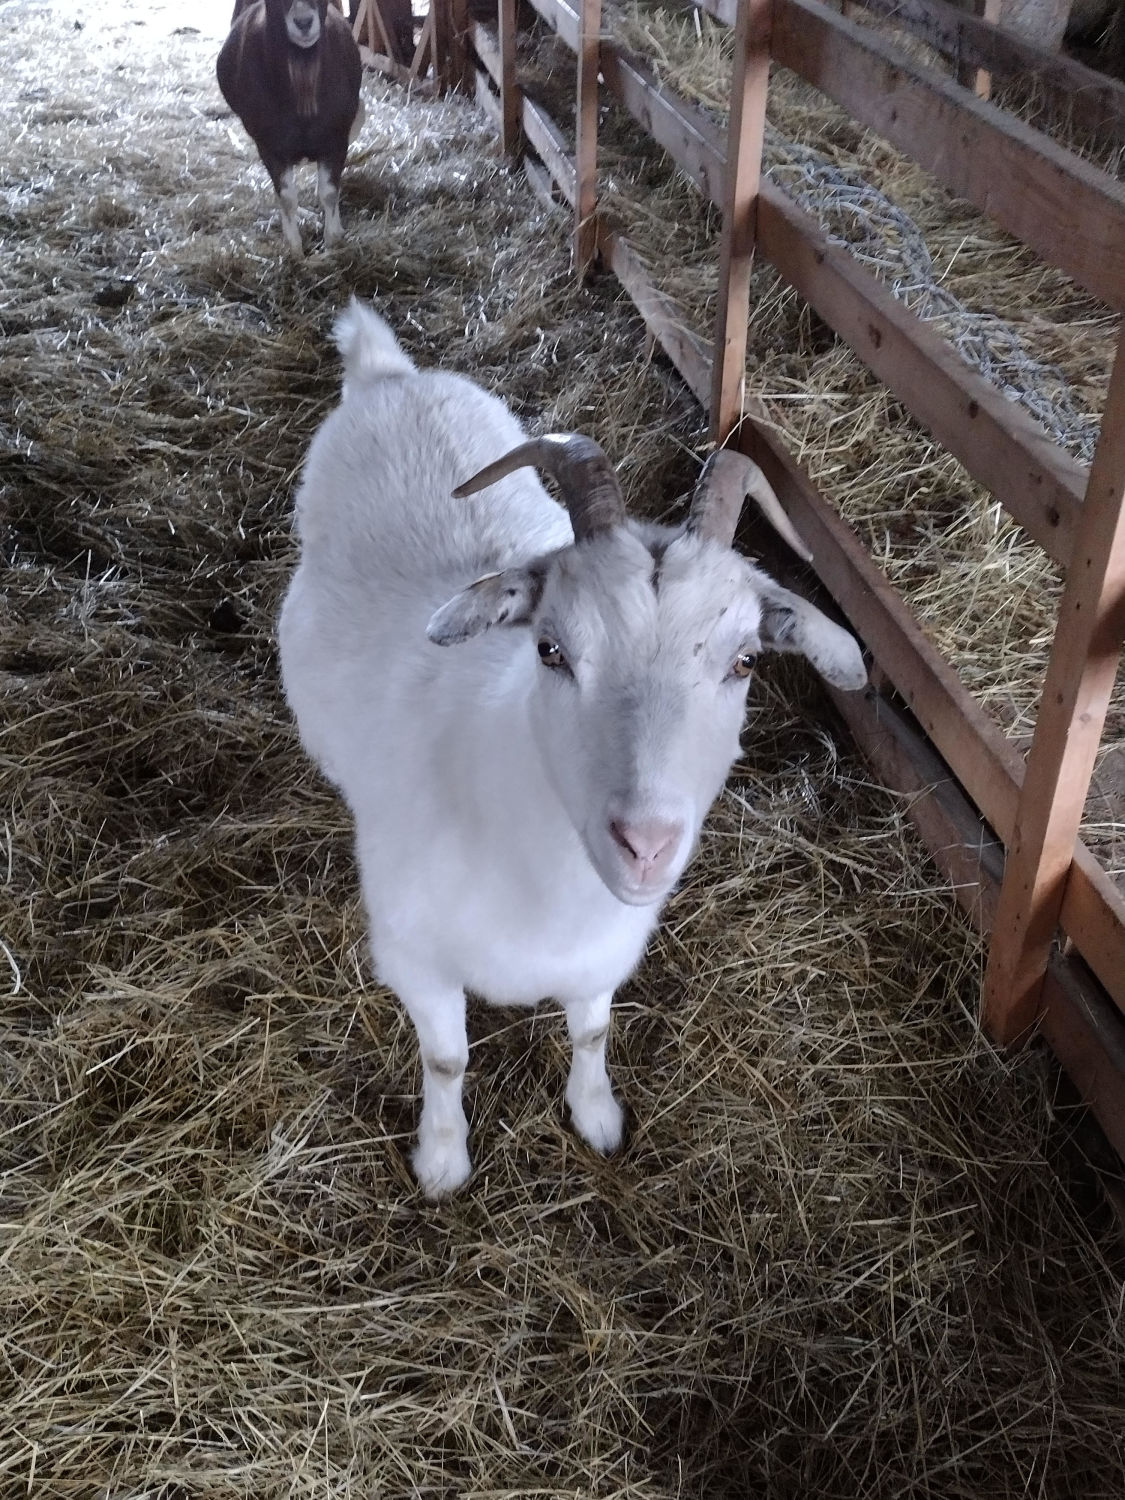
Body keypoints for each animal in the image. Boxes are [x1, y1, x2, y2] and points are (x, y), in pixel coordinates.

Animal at [217, 0, 364, 254]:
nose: (303, 22)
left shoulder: (336, 140)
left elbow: (329, 193)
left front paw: (333, 241)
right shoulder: (270, 147)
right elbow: (287, 198)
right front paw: (295, 249)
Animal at [278, 299, 867, 1197]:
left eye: (743, 663)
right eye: (550, 649)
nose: (644, 844)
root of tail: (391, 377)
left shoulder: (602, 959)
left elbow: (590, 1035)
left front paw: (598, 1119)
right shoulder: (415, 961)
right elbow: (446, 1060)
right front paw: (442, 1161)